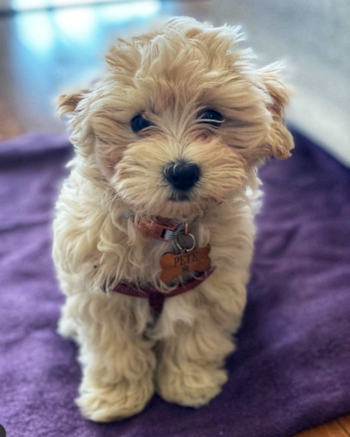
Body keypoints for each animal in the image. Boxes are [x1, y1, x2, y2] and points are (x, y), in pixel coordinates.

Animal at [53, 17, 294, 422]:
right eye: (138, 122)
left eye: (213, 116)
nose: (182, 172)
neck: (165, 225)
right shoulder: (104, 294)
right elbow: (114, 351)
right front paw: (114, 397)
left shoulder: (207, 286)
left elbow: (193, 337)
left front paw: (189, 384)